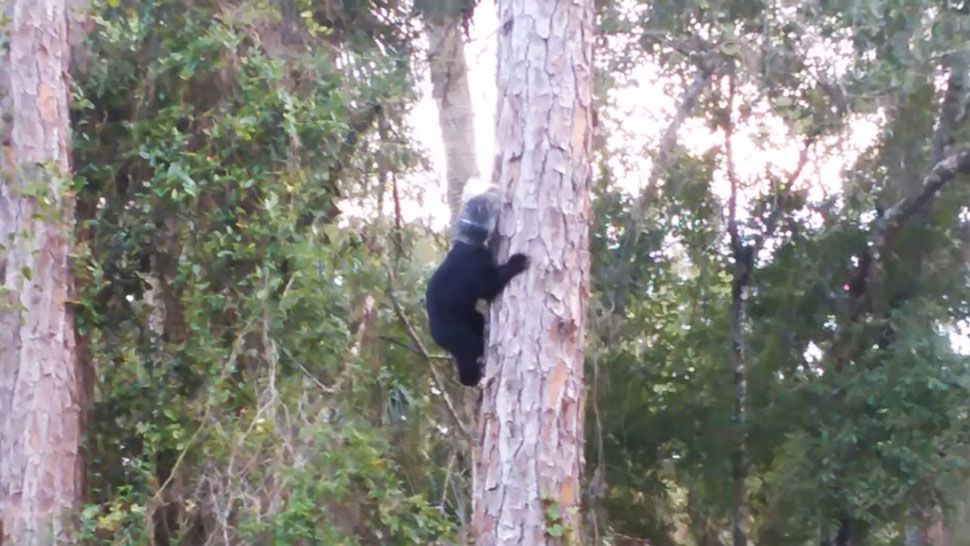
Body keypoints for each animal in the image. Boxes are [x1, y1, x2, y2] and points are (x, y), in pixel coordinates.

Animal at [425, 177, 529, 386]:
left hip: (470, 319)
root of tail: (434, 331)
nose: (496, 191)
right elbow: (490, 285)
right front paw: (518, 261)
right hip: (460, 337)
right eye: (482, 208)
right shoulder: (480, 273)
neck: (467, 244)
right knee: (467, 358)